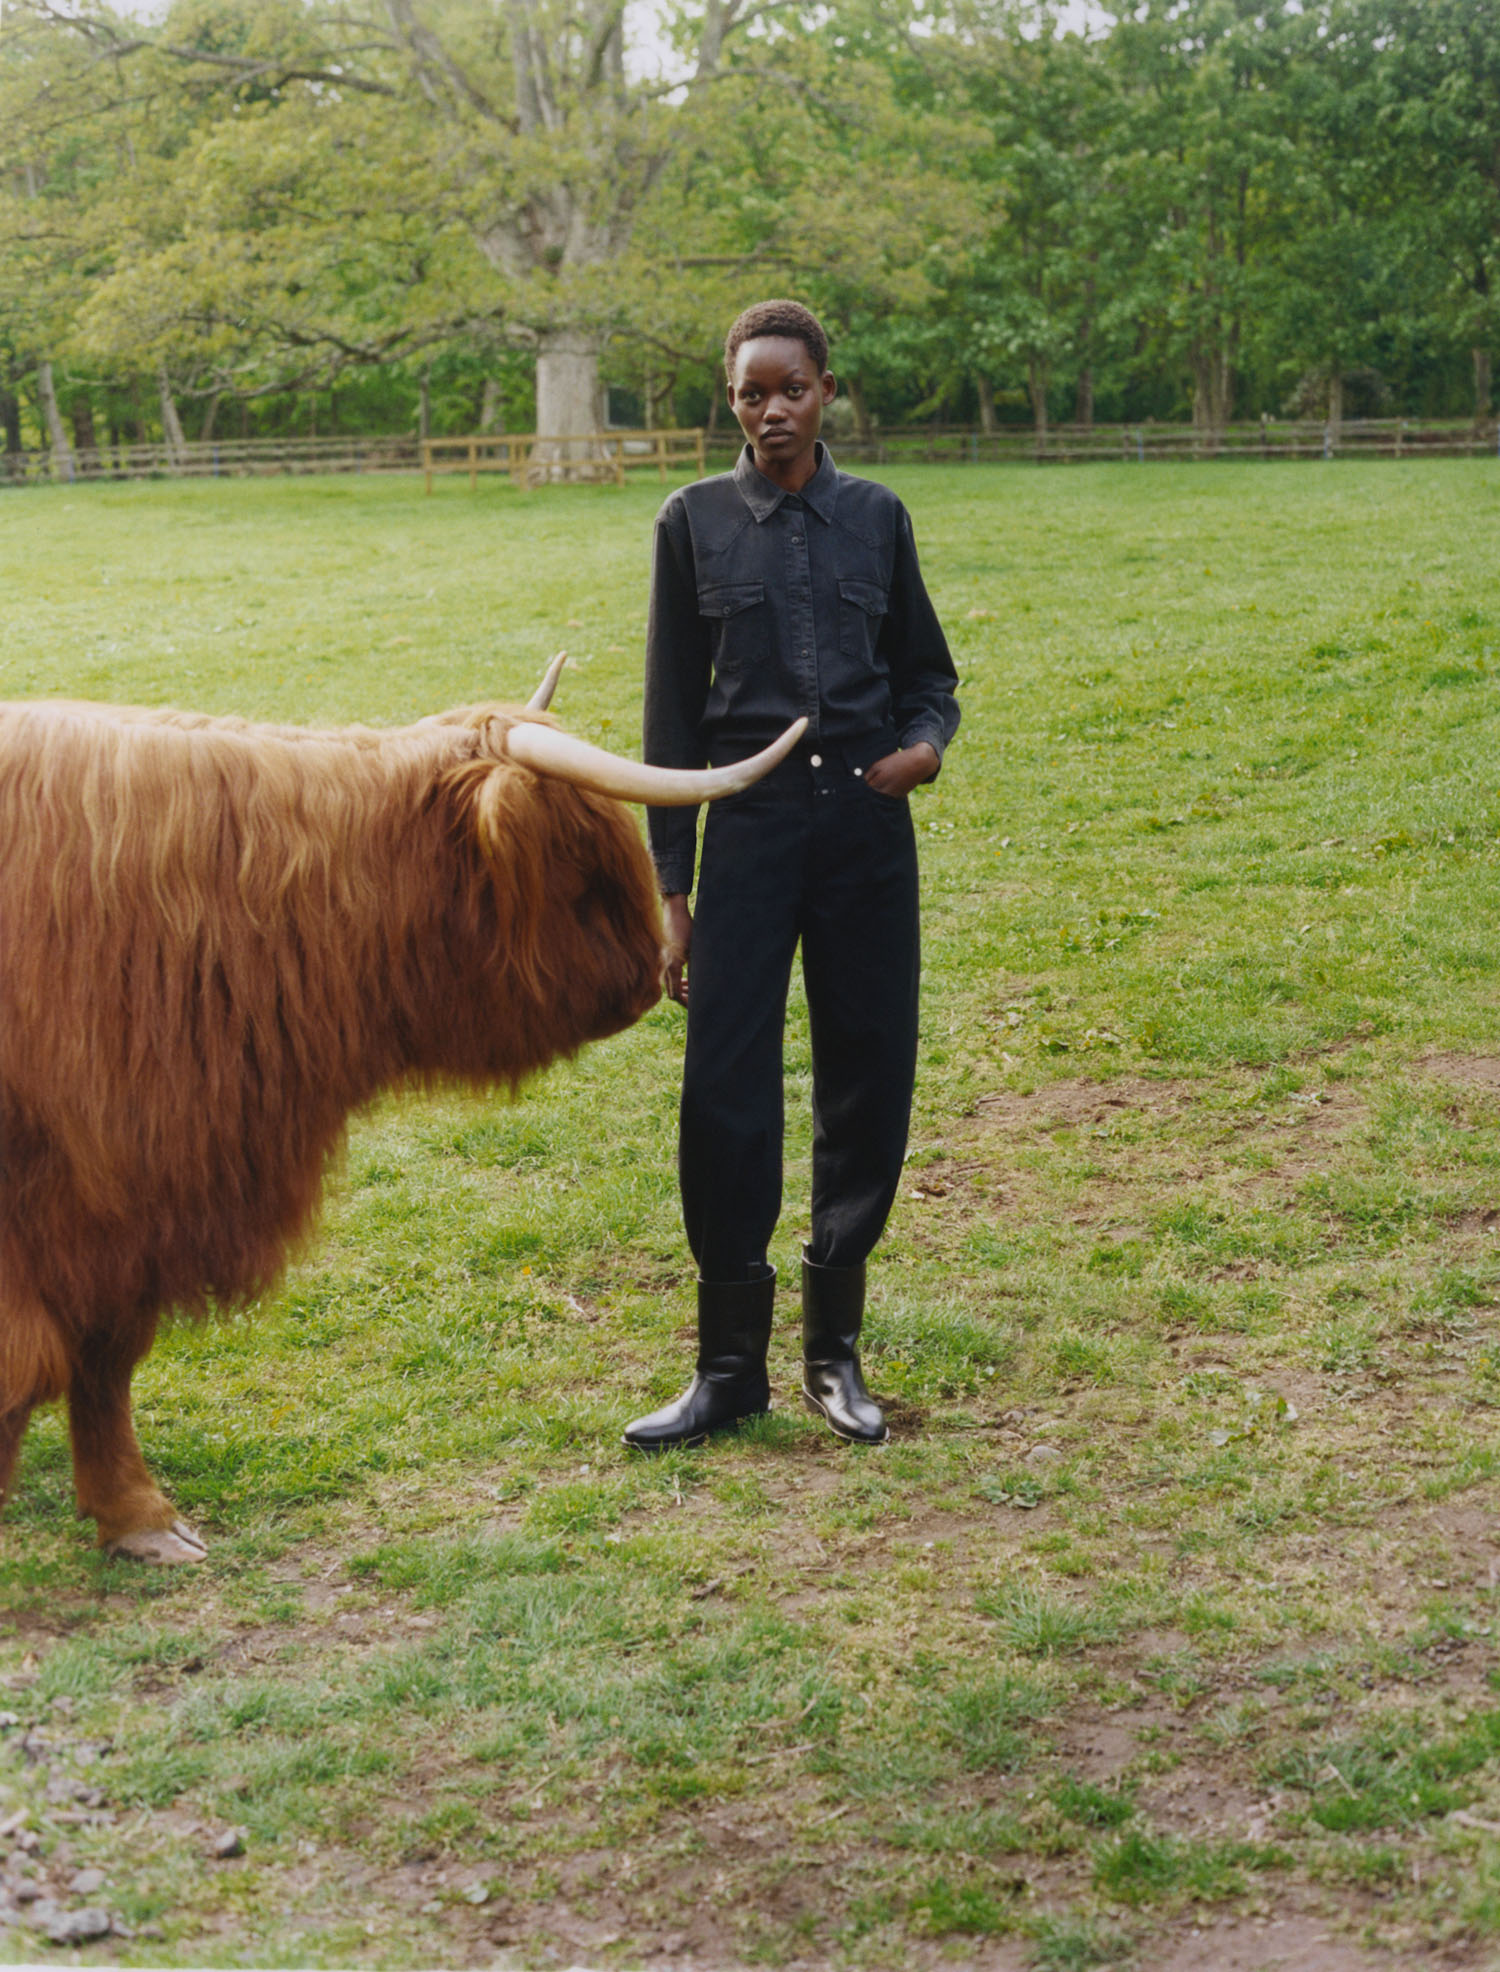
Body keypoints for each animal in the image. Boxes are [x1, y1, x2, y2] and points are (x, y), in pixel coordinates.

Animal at [0, 667, 804, 1563]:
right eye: (577, 864)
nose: (649, 977)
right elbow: (31, 1367)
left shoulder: (121, 1211)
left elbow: (102, 1362)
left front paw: (137, 1517)